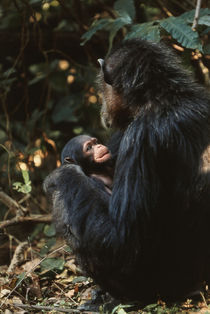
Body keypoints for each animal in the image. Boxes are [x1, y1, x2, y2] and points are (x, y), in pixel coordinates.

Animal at [43, 39, 210, 302]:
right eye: (90, 146)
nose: (102, 106)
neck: (160, 98)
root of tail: (198, 286)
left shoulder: (138, 138)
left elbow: (124, 240)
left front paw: (61, 173)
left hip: (152, 287)